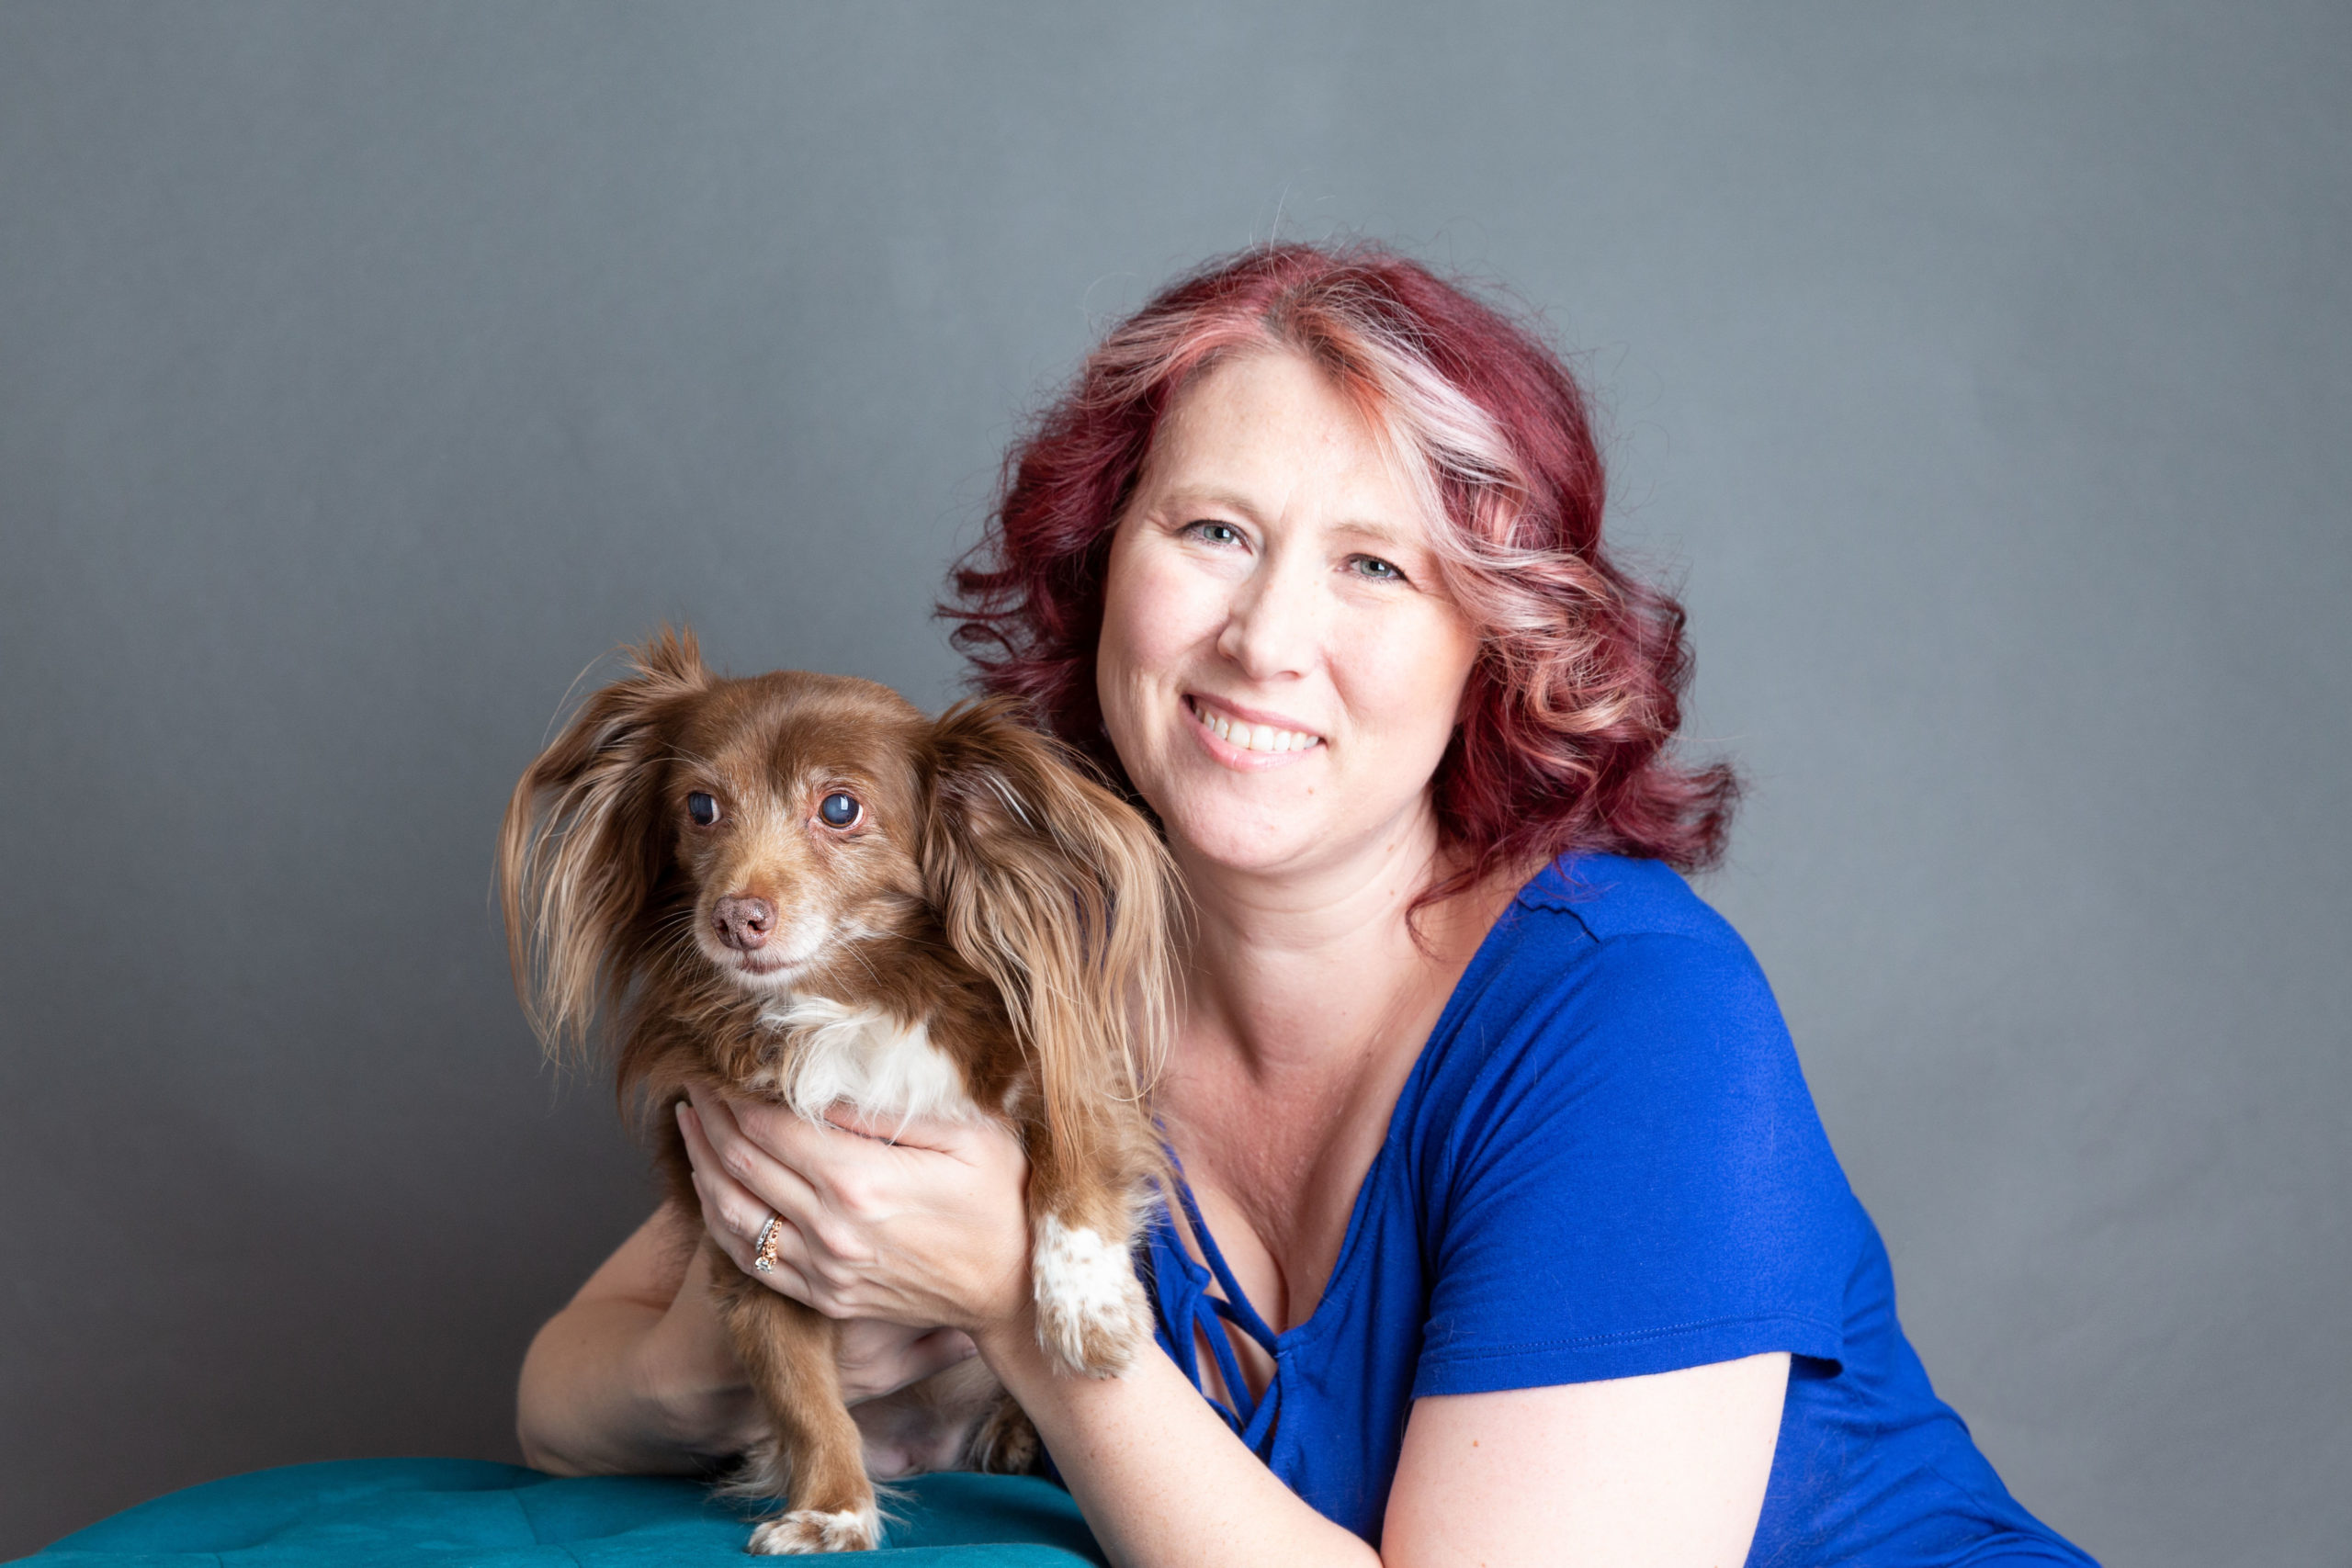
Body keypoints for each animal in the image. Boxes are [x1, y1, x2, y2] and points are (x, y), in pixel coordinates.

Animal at [498, 629, 1176, 1551]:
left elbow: (1073, 1175)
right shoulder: (748, 1246)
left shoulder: (1068, 1082)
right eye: (700, 807)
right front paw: (832, 1507)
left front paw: (1088, 1314)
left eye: (841, 808)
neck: (845, 1000)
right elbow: (802, 1394)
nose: (735, 916)